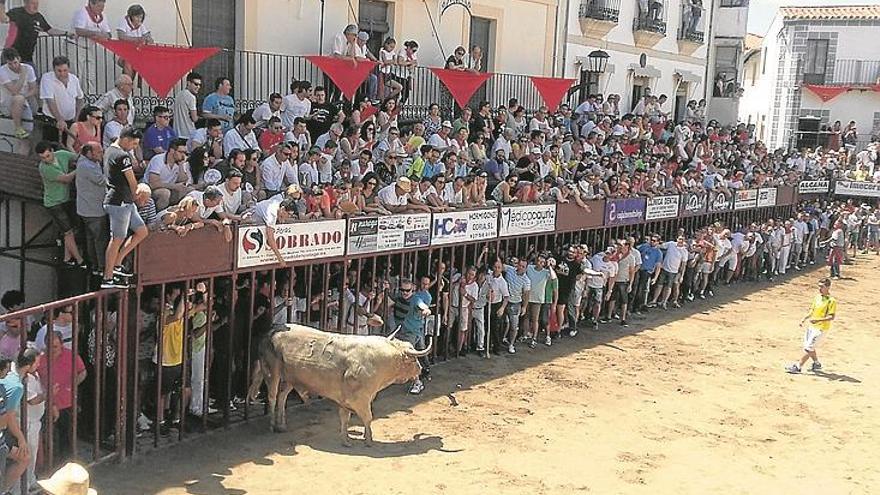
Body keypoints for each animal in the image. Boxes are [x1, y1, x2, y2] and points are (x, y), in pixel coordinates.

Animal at [246, 324, 432, 448]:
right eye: (413, 359)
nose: (421, 369)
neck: (379, 359)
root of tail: (270, 331)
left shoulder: (346, 400)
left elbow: (345, 418)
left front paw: (346, 440)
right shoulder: (360, 399)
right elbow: (367, 418)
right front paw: (368, 440)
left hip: (290, 379)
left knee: (282, 397)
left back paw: (282, 425)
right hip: (272, 372)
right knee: (272, 396)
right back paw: (272, 425)